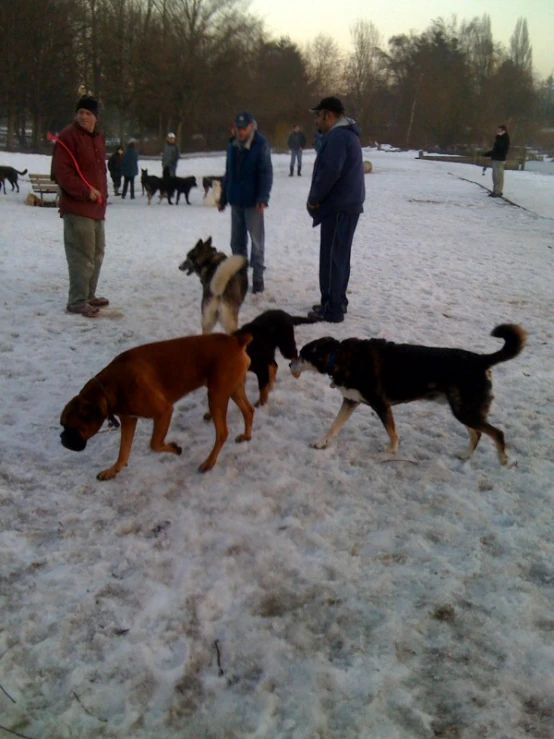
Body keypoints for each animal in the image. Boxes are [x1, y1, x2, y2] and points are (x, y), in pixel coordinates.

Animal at [59, 334, 253, 480]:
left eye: (72, 427)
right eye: (62, 425)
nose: (62, 437)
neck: (107, 388)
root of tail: (236, 341)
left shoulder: (163, 412)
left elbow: (154, 444)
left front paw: (175, 448)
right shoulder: (129, 420)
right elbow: (123, 451)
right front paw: (113, 470)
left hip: (216, 396)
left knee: (222, 432)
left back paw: (209, 462)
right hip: (233, 389)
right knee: (249, 410)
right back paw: (246, 436)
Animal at [288, 326, 528, 466]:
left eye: (302, 355)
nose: (290, 364)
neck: (338, 357)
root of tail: (480, 359)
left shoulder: (381, 404)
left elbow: (392, 432)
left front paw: (390, 451)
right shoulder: (351, 401)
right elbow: (334, 426)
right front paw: (322, 442)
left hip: (465, 410)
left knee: (497, 433)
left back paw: (503, 459)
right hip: (464, 409)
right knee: (477, 433)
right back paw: (466, 455)